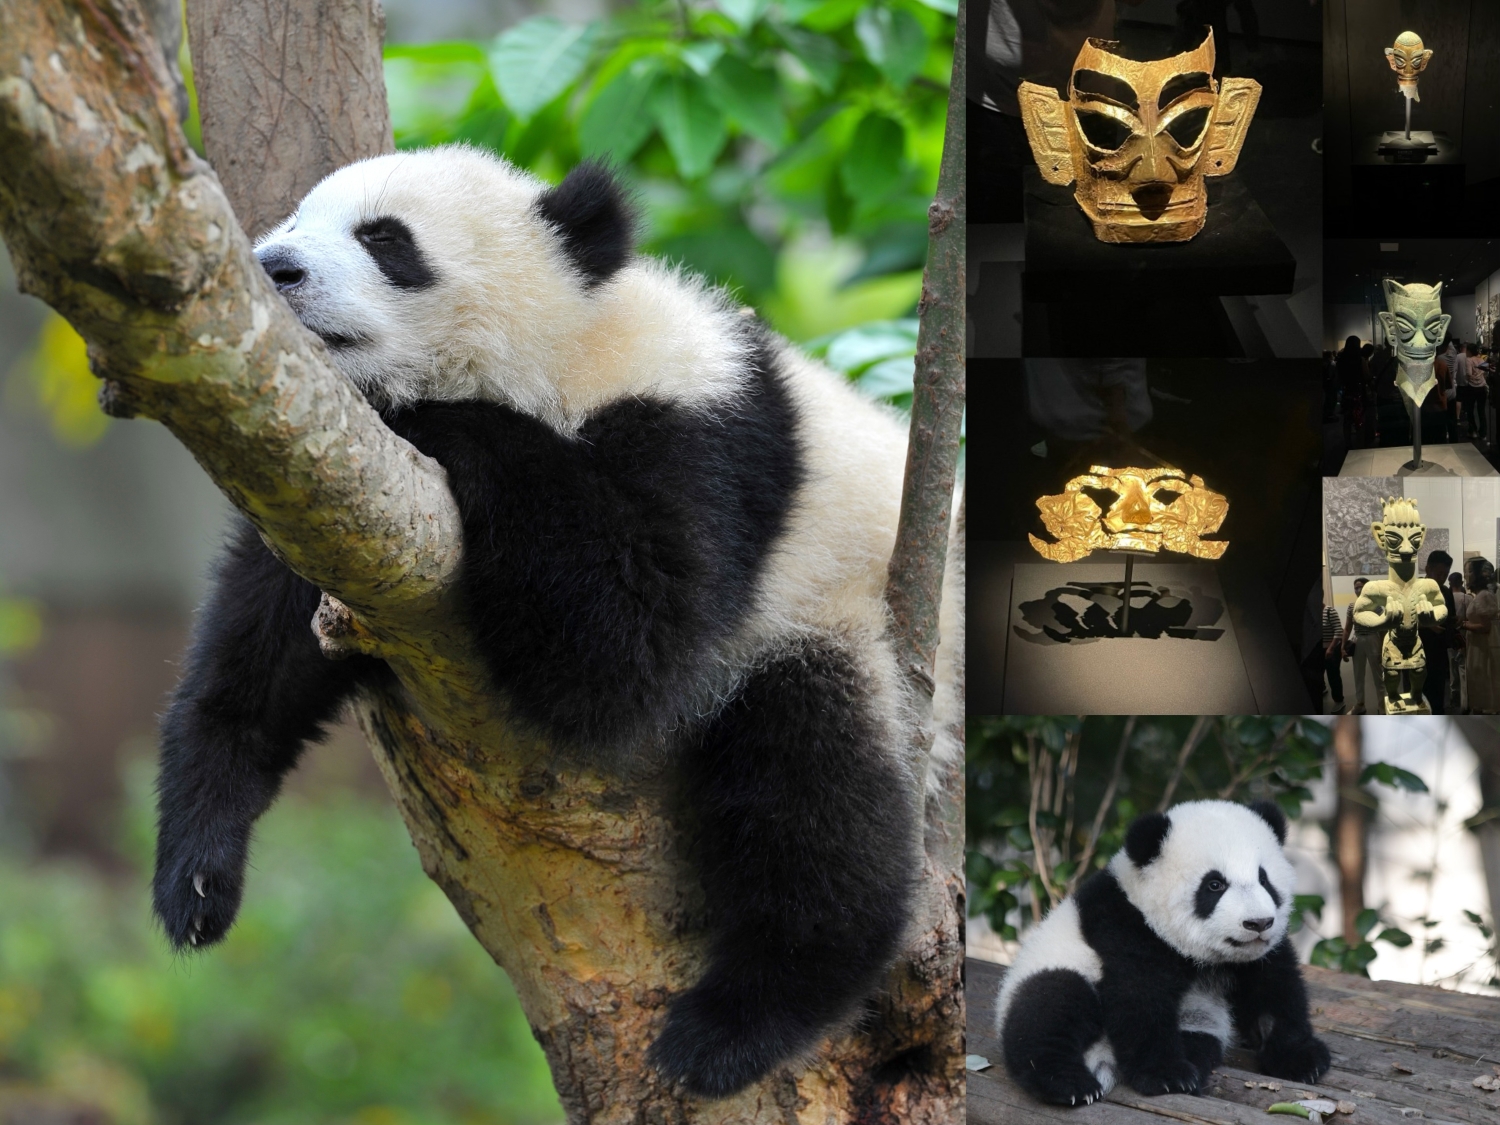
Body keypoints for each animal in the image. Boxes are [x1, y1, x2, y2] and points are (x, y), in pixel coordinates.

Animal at [150, 143, 960, 1099]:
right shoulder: (330, 488)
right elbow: (259, 649)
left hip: (847, 621)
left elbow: (630, 644)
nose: (275, 266)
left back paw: (741, 1022)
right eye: (292, 221)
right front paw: (198, 872)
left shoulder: (705, 435)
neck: (556, 348)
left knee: (815, 782)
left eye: (386, 239)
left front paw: (440, 419)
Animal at [995, 800, 1331, 1106]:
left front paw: (1302, 1060)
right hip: (1054, 966)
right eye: (1214, 885)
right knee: (1050, 1005)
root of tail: (1103, 1056)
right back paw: (1070, 1084)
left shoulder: (1258, 955)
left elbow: (1274, 989)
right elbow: (1139, 998)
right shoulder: (1123, 928)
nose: (1258, 923)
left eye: (1264, 879)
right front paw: (1167, 1075)